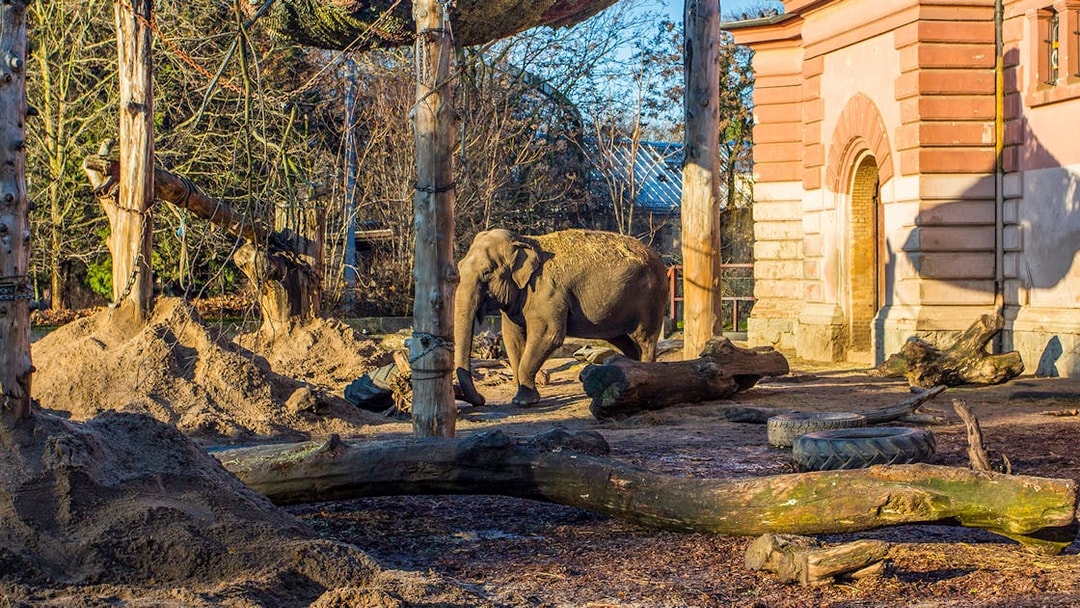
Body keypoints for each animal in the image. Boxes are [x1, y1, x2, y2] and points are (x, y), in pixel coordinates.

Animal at [454, 228, 669, 407]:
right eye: (459, 266)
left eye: (487, 272)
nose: (482, 399)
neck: (524, 240)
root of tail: (660, 259)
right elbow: (512, 338)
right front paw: (520, 399)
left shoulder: (548, 293)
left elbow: (549, 335)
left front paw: (524, 402)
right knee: (626, 342)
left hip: (651, 300)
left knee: (645, 339)